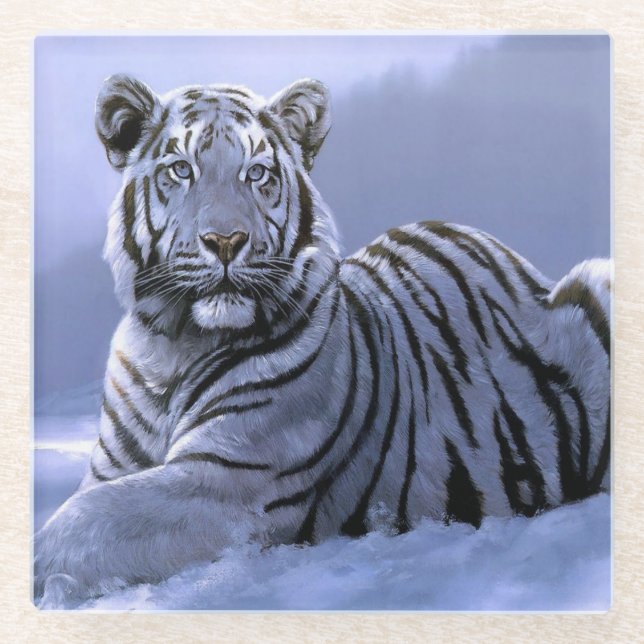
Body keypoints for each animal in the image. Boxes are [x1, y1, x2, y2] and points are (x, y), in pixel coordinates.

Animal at [34, 74, 611, 604]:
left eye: (257, 173)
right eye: (181, 169)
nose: (226, 241)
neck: (175, 347)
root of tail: (524, 270)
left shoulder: (228, 480)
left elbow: (79, 523)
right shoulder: (115, 466)